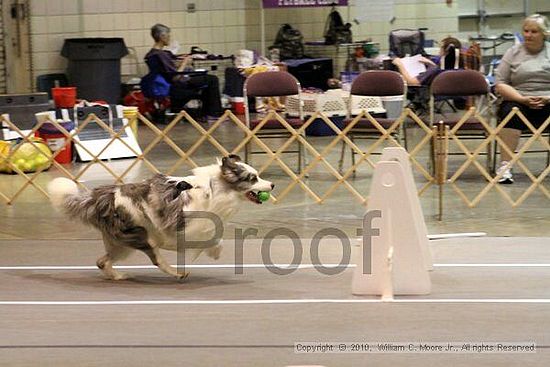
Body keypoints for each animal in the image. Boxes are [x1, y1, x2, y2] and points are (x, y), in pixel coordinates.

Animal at [48, 155, 276, 282]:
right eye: (252, 178)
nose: (272, 185)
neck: (215, 190)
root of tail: (102, 197)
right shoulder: (184, 226)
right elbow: (209, 238)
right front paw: (213, 251)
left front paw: (213, 251)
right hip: (140, 237)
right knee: (156, 259)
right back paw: (177, 273)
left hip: (121, 244)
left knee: (102, 262)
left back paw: (118, 276)